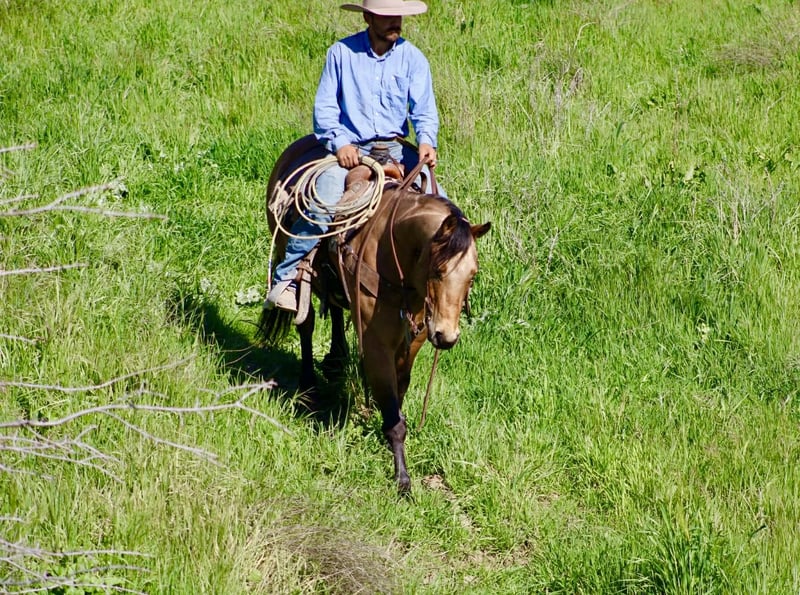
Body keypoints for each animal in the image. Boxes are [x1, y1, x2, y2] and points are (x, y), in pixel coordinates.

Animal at [259, 135, 490, 492]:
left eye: (473, 275)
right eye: (438, 271)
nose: (447, 336)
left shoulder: (413, 341)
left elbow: (399, 395)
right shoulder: (377, 341)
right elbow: (392, 408)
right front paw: (403, 479)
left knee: (334, 308)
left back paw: (336, 360)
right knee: (306, 325)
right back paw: (309, 386)